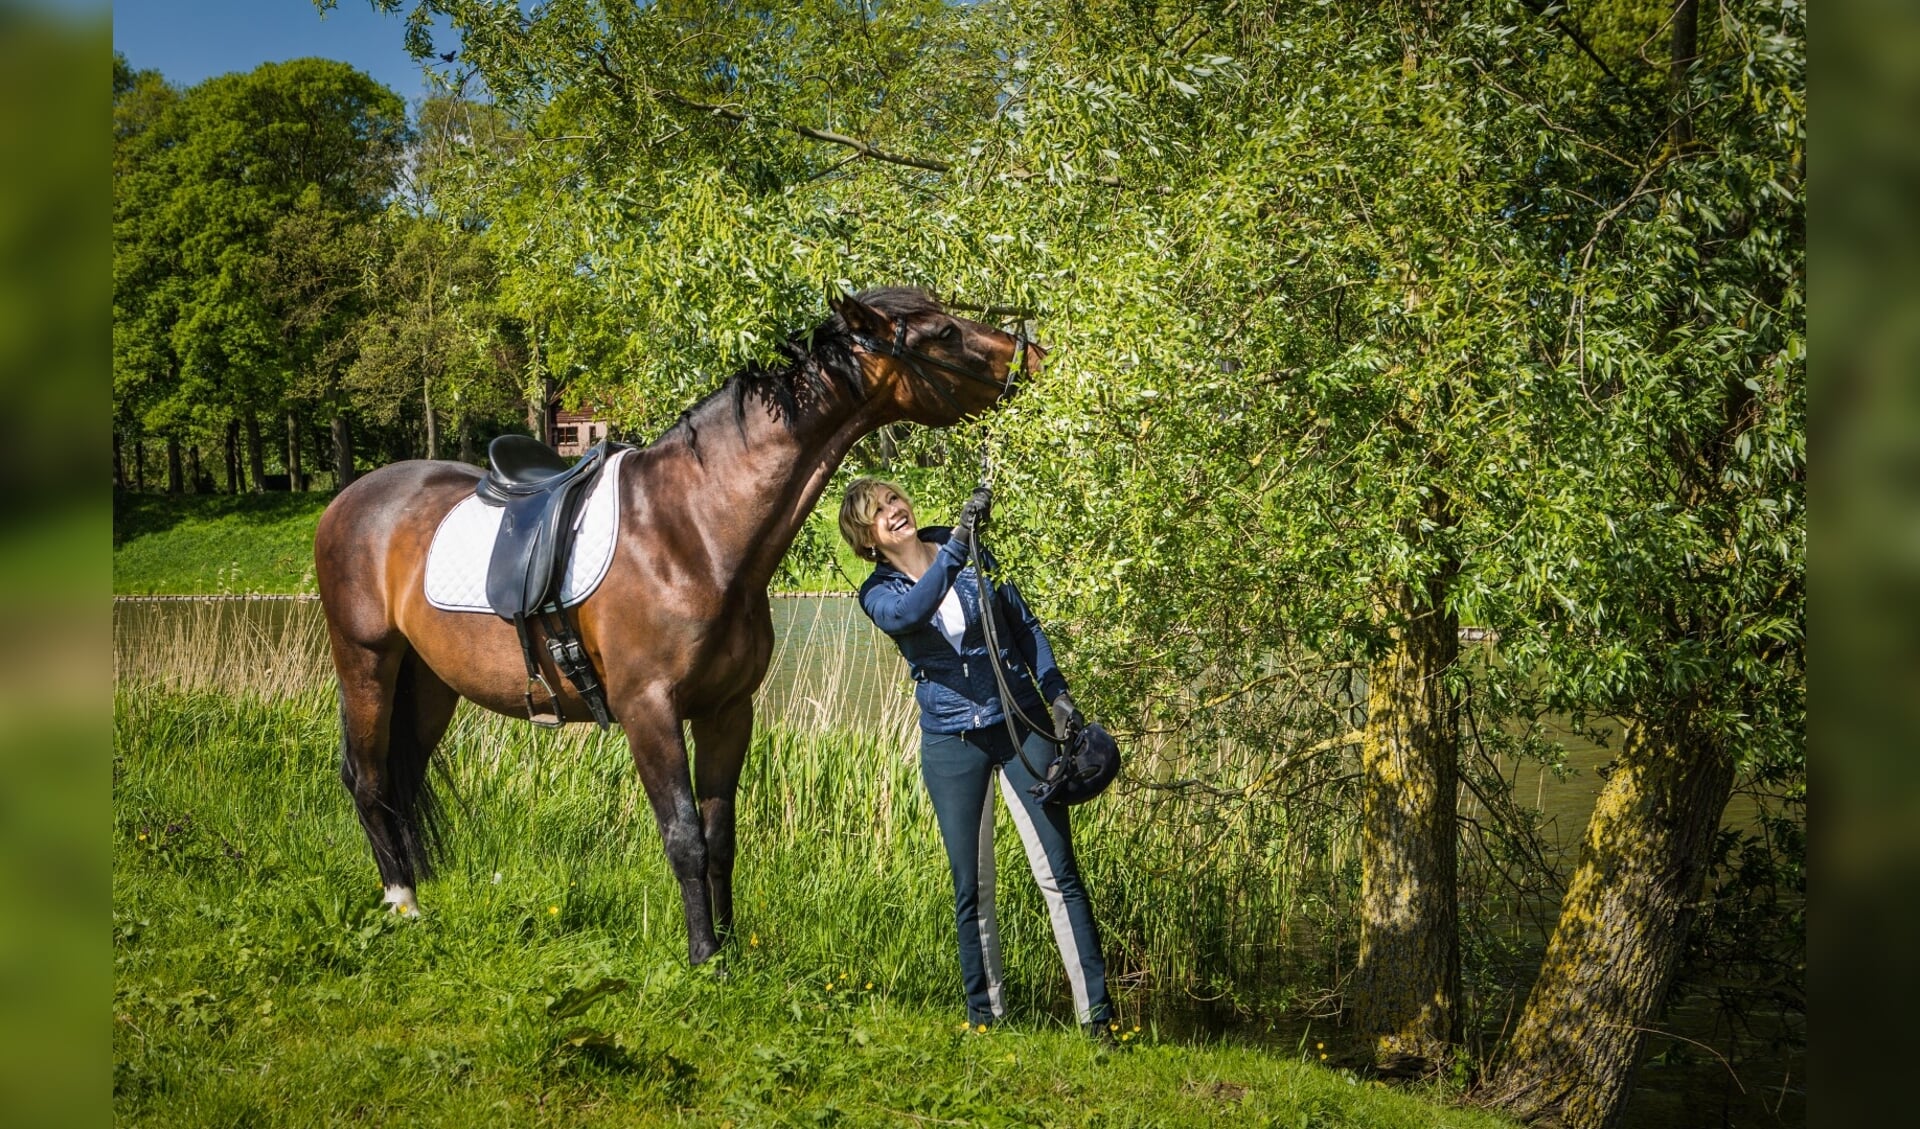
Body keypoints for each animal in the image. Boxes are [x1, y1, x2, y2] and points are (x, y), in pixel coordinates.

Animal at [314, 288, 1044, 960]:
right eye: (943, 331)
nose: (1033, 355)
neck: (692, 528)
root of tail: (349, 498)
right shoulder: (649, 710)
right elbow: (684, 836)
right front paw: (702, 955)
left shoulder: (727, 710)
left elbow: (720, 837)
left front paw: (728, 946)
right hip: (367, 662)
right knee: (368, 778)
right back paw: (401, 904)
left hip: (430, 682)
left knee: (403, 778)